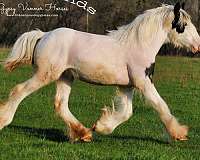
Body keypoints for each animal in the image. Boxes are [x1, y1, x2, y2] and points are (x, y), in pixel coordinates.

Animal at [0, 2, 200, 142]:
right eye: (183, 25)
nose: (197, 45)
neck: (138, 45)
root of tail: (43, 35)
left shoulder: (127, 86)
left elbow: (126, 113)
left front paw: (101, 126)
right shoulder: (143, 83)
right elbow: (161, 105)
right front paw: (180, 133)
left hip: (65, 77)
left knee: (60, 104)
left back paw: (84, 133)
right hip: (46, 75)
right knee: (19, 91)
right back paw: (4, 120)